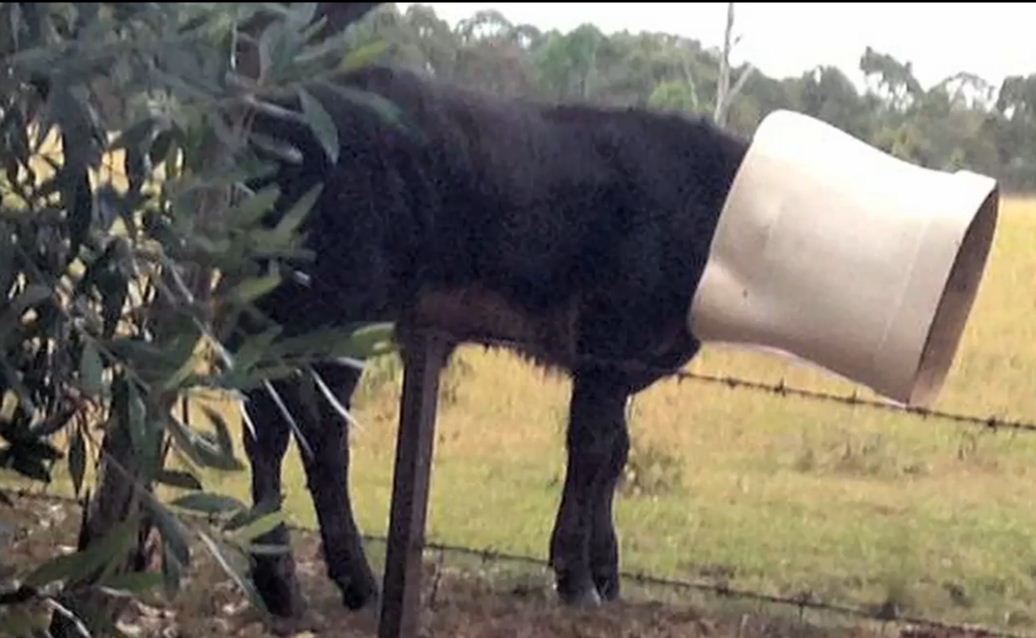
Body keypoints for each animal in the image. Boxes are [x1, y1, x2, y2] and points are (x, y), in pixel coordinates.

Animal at [238, 62, 750, 617]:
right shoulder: (607, 348)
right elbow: (593, 449)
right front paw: (577, 579)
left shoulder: (625, 363)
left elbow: (617, 453)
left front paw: (607, 572)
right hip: (337, 314)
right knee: (318, 436)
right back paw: (350, 582)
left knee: (264, 428)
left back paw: (277, 581)